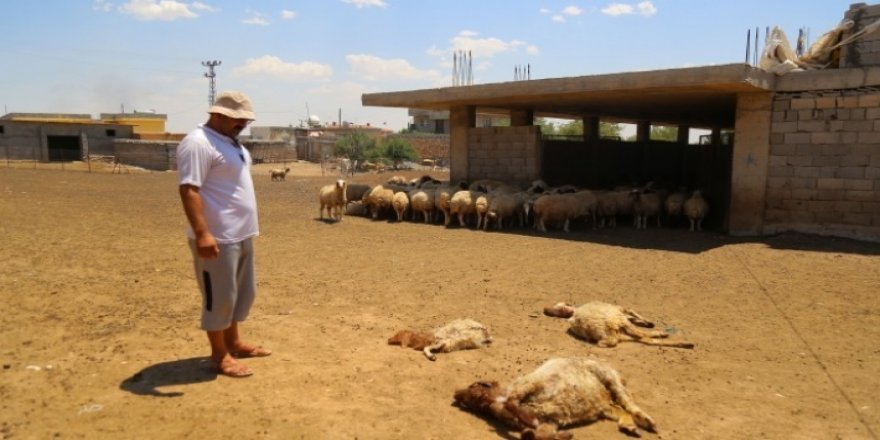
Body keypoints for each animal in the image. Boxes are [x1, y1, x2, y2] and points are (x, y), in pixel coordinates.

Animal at [454, 358, 652, 440]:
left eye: (473, 386)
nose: (455, 394)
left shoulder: (532, 384)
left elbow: (513, 403)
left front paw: (529, 423)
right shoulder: (550, 421)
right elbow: (539, 434)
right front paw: (564, 435)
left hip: (609, 377)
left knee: (628, 402)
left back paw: (648, 423)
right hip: (606, 405)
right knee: (621, 409)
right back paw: (631, 427)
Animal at [544, 300, 696, 348]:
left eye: (559, 307)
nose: (547, 310)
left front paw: (646, 322)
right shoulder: (620, 310)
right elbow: (631, 310)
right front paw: (648, 323)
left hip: (619, 332)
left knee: (642, 338)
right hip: (618, 321)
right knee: (643, 336)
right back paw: (683, 342)